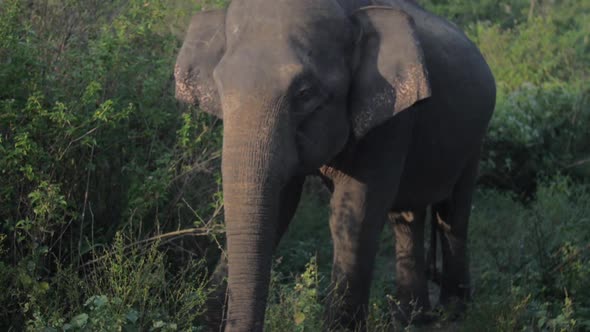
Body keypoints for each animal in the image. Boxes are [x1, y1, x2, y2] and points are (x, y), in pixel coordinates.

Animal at [175, 0, 494, 330]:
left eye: (304, 93)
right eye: (219, 88)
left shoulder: (391, 118)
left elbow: (356, 211)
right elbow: (282, 206)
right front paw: (202, 320)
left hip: (475, 136)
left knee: (453, 212)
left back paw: (453, 312)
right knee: (407, 217)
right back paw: (412, 319)